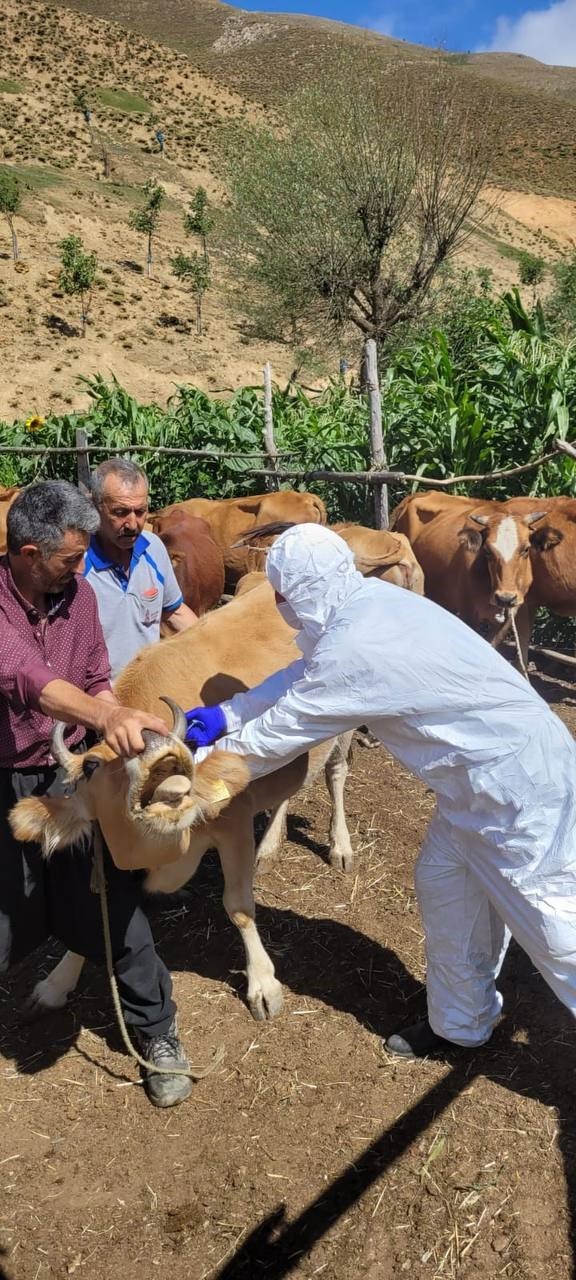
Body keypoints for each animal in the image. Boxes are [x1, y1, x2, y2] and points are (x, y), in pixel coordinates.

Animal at [389, 488, 547, 634]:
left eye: (526, 549)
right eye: (487, 550)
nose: (505, 598)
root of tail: (425, 492)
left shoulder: (507, 617)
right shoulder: (468, 613)